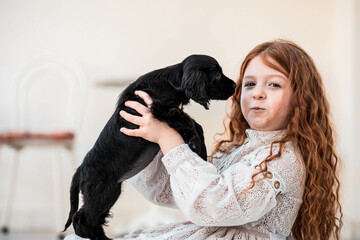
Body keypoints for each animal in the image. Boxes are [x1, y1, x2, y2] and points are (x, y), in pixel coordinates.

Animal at [63, 54, 235, 240]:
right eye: (217, 75)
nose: (234, 85)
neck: (171, 82)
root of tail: (81, 169)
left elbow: (196, 124)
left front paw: (199, 149)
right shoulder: (161, 108)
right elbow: (187, 119)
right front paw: (196, 144)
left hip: (110, 192)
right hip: (101, 193)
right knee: (82, 219)